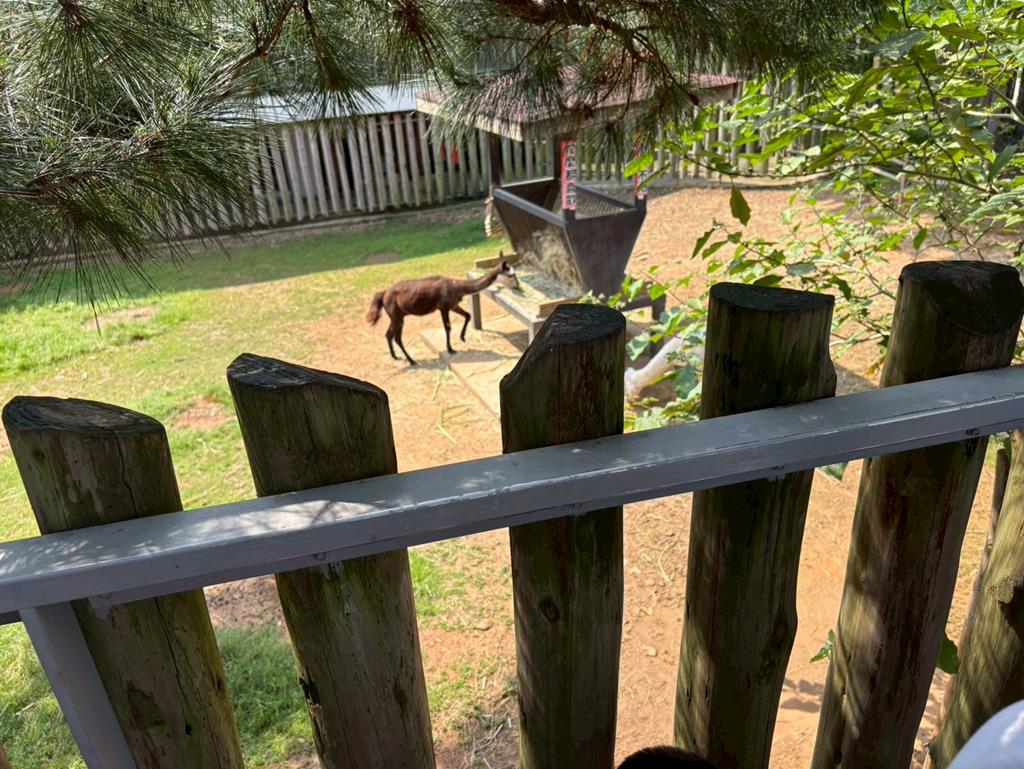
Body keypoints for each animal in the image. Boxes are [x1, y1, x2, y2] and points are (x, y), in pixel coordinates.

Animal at [365, 260, 518, 366]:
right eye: (511, 275)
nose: (518, 286)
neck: (459, 287)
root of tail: (383, 293)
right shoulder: (444, 307)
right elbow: (448, 327)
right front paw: (450, 349)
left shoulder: (453, 305)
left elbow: (467, 315)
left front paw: (462, 338)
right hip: (397, 316)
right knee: (397, 338)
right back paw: (412, 361)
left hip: (397, 315)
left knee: (388, 334)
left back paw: (395, 356)